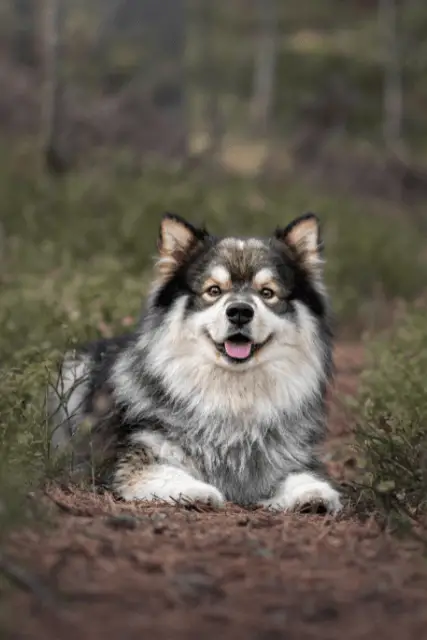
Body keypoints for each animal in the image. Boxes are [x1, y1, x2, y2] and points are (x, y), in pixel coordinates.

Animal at [48, 212, 342, 512]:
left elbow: (303, 476)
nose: (239, 311)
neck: (233, 396)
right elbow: (170, 474)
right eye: (214, 290)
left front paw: (313, 494)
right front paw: (198, 491)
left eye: (267, 293)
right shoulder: (136, 461)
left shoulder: (287, 460)